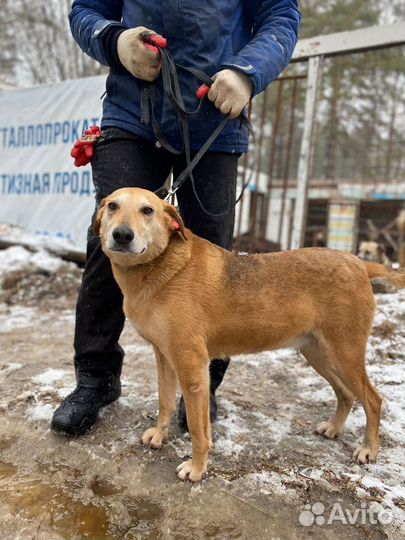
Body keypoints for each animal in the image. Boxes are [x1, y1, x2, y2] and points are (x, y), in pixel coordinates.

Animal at [94, 189, 404, 480]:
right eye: (113, 206)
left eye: (147, 210)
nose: (122, 235)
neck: (160, 268)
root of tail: (359, 264)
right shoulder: (165, 358)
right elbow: (165, 401)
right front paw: (160, 436)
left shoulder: (192, 367)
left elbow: (198, 428)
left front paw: (196, 468)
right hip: (317, 353)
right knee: (346, 394)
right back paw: (334, 428)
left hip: (344, 354)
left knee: (373, 399)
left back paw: (368, 449)